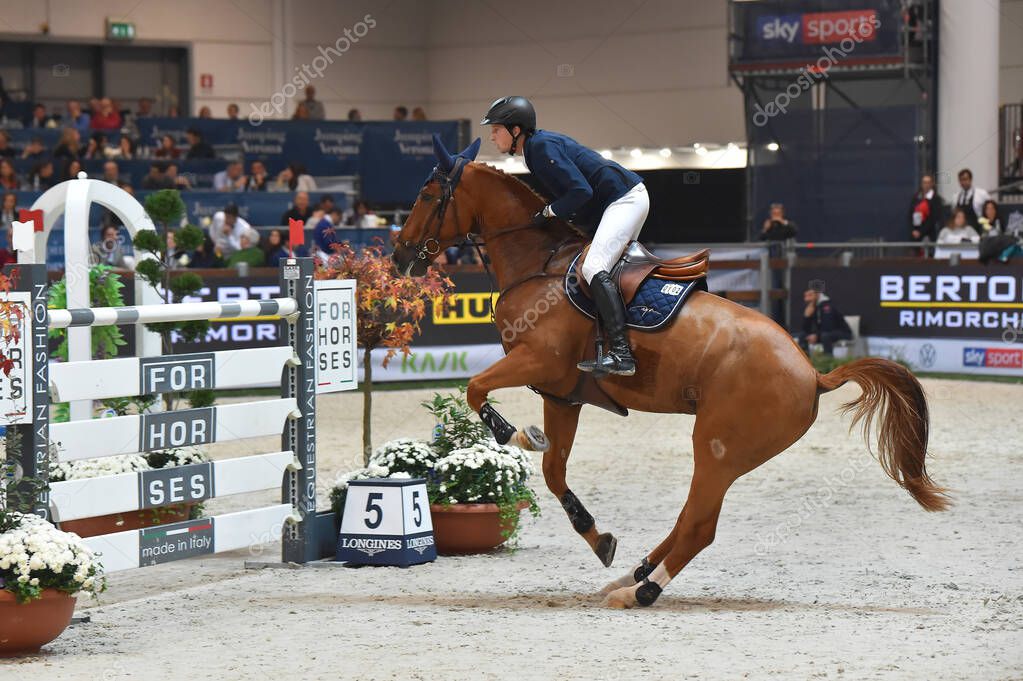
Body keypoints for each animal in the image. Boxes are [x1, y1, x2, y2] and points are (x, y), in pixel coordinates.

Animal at [392, 136, 950, 609]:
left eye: (426, 193)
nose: (399, 257)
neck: (537, 263)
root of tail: (813, 374)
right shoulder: (561, 394)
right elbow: (553, 473)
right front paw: (598, 536)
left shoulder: (540, 362)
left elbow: (475, 388)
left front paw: (514, 434)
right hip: (723, 452)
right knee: (688, 517)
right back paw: (631, 573)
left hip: (718, 446)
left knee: (699, 524)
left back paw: (640, 591)